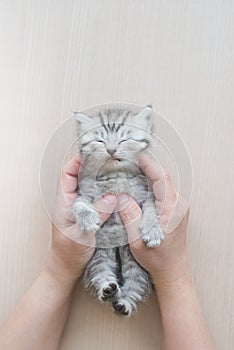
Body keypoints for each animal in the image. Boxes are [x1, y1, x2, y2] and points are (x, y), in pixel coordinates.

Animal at [72, 105, 164, 316]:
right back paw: (107, 289)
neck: (116, 175)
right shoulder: (84, 191)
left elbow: (152, 208)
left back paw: (124, 304)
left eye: (125, 139)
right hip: (97, 257)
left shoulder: (147, 192)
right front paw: (88, 218)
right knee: (99, 273)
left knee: (136, 285)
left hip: (137, 266)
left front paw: (152, 230)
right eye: (99, 141)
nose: (111, 150)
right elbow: (78, 204)